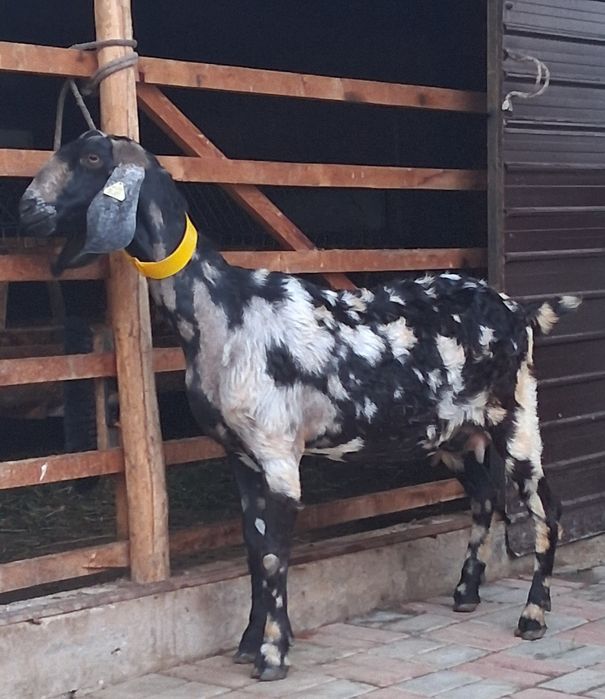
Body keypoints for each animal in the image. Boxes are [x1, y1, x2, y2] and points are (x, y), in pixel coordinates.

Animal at [20, 130, 580, 681]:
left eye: (93, 157)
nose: (26, 208)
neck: (225, 309)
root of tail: (520, 312)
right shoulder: (241, 457)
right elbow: (254, 550)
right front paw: (250, 642)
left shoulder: (277, 452)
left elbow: (273, 557)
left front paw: (271, 655)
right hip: (456, 433)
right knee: (484, 497)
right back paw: (466, 593)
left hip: (516, 416)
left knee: (545, 507)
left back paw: (533, 616)